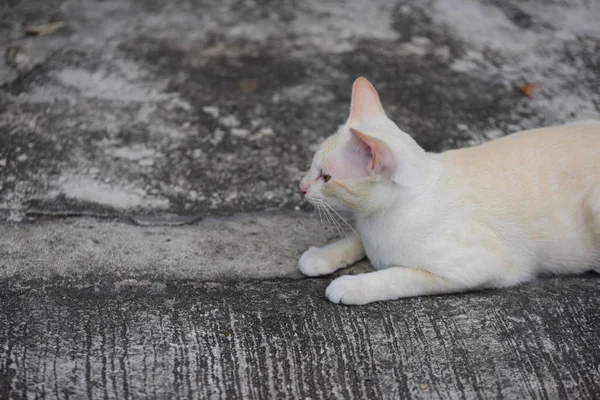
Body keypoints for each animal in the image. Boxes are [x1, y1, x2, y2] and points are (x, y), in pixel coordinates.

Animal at [300, 76, 600, 304]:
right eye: (312, 167)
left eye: (325, 177)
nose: (301, 187)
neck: (377, 219)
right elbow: (354, 239)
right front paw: (321, 256)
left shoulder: (484, 266)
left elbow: (397, 275)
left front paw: (352, 285)